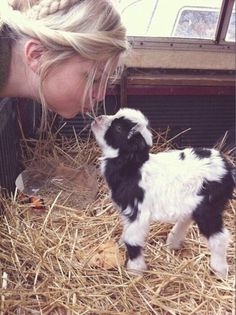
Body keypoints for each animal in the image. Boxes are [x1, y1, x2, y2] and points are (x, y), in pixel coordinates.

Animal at [91, 108, 235, 278]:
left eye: (119, 128)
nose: (97, 119)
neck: (132, 167)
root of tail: (228, 170)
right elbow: (126, 233)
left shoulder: (138, 211)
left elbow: (132, 239)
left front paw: (135, 271)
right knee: (187, 217)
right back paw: (173, 242)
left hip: (209, 208)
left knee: (219, 238)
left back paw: (220, 272)